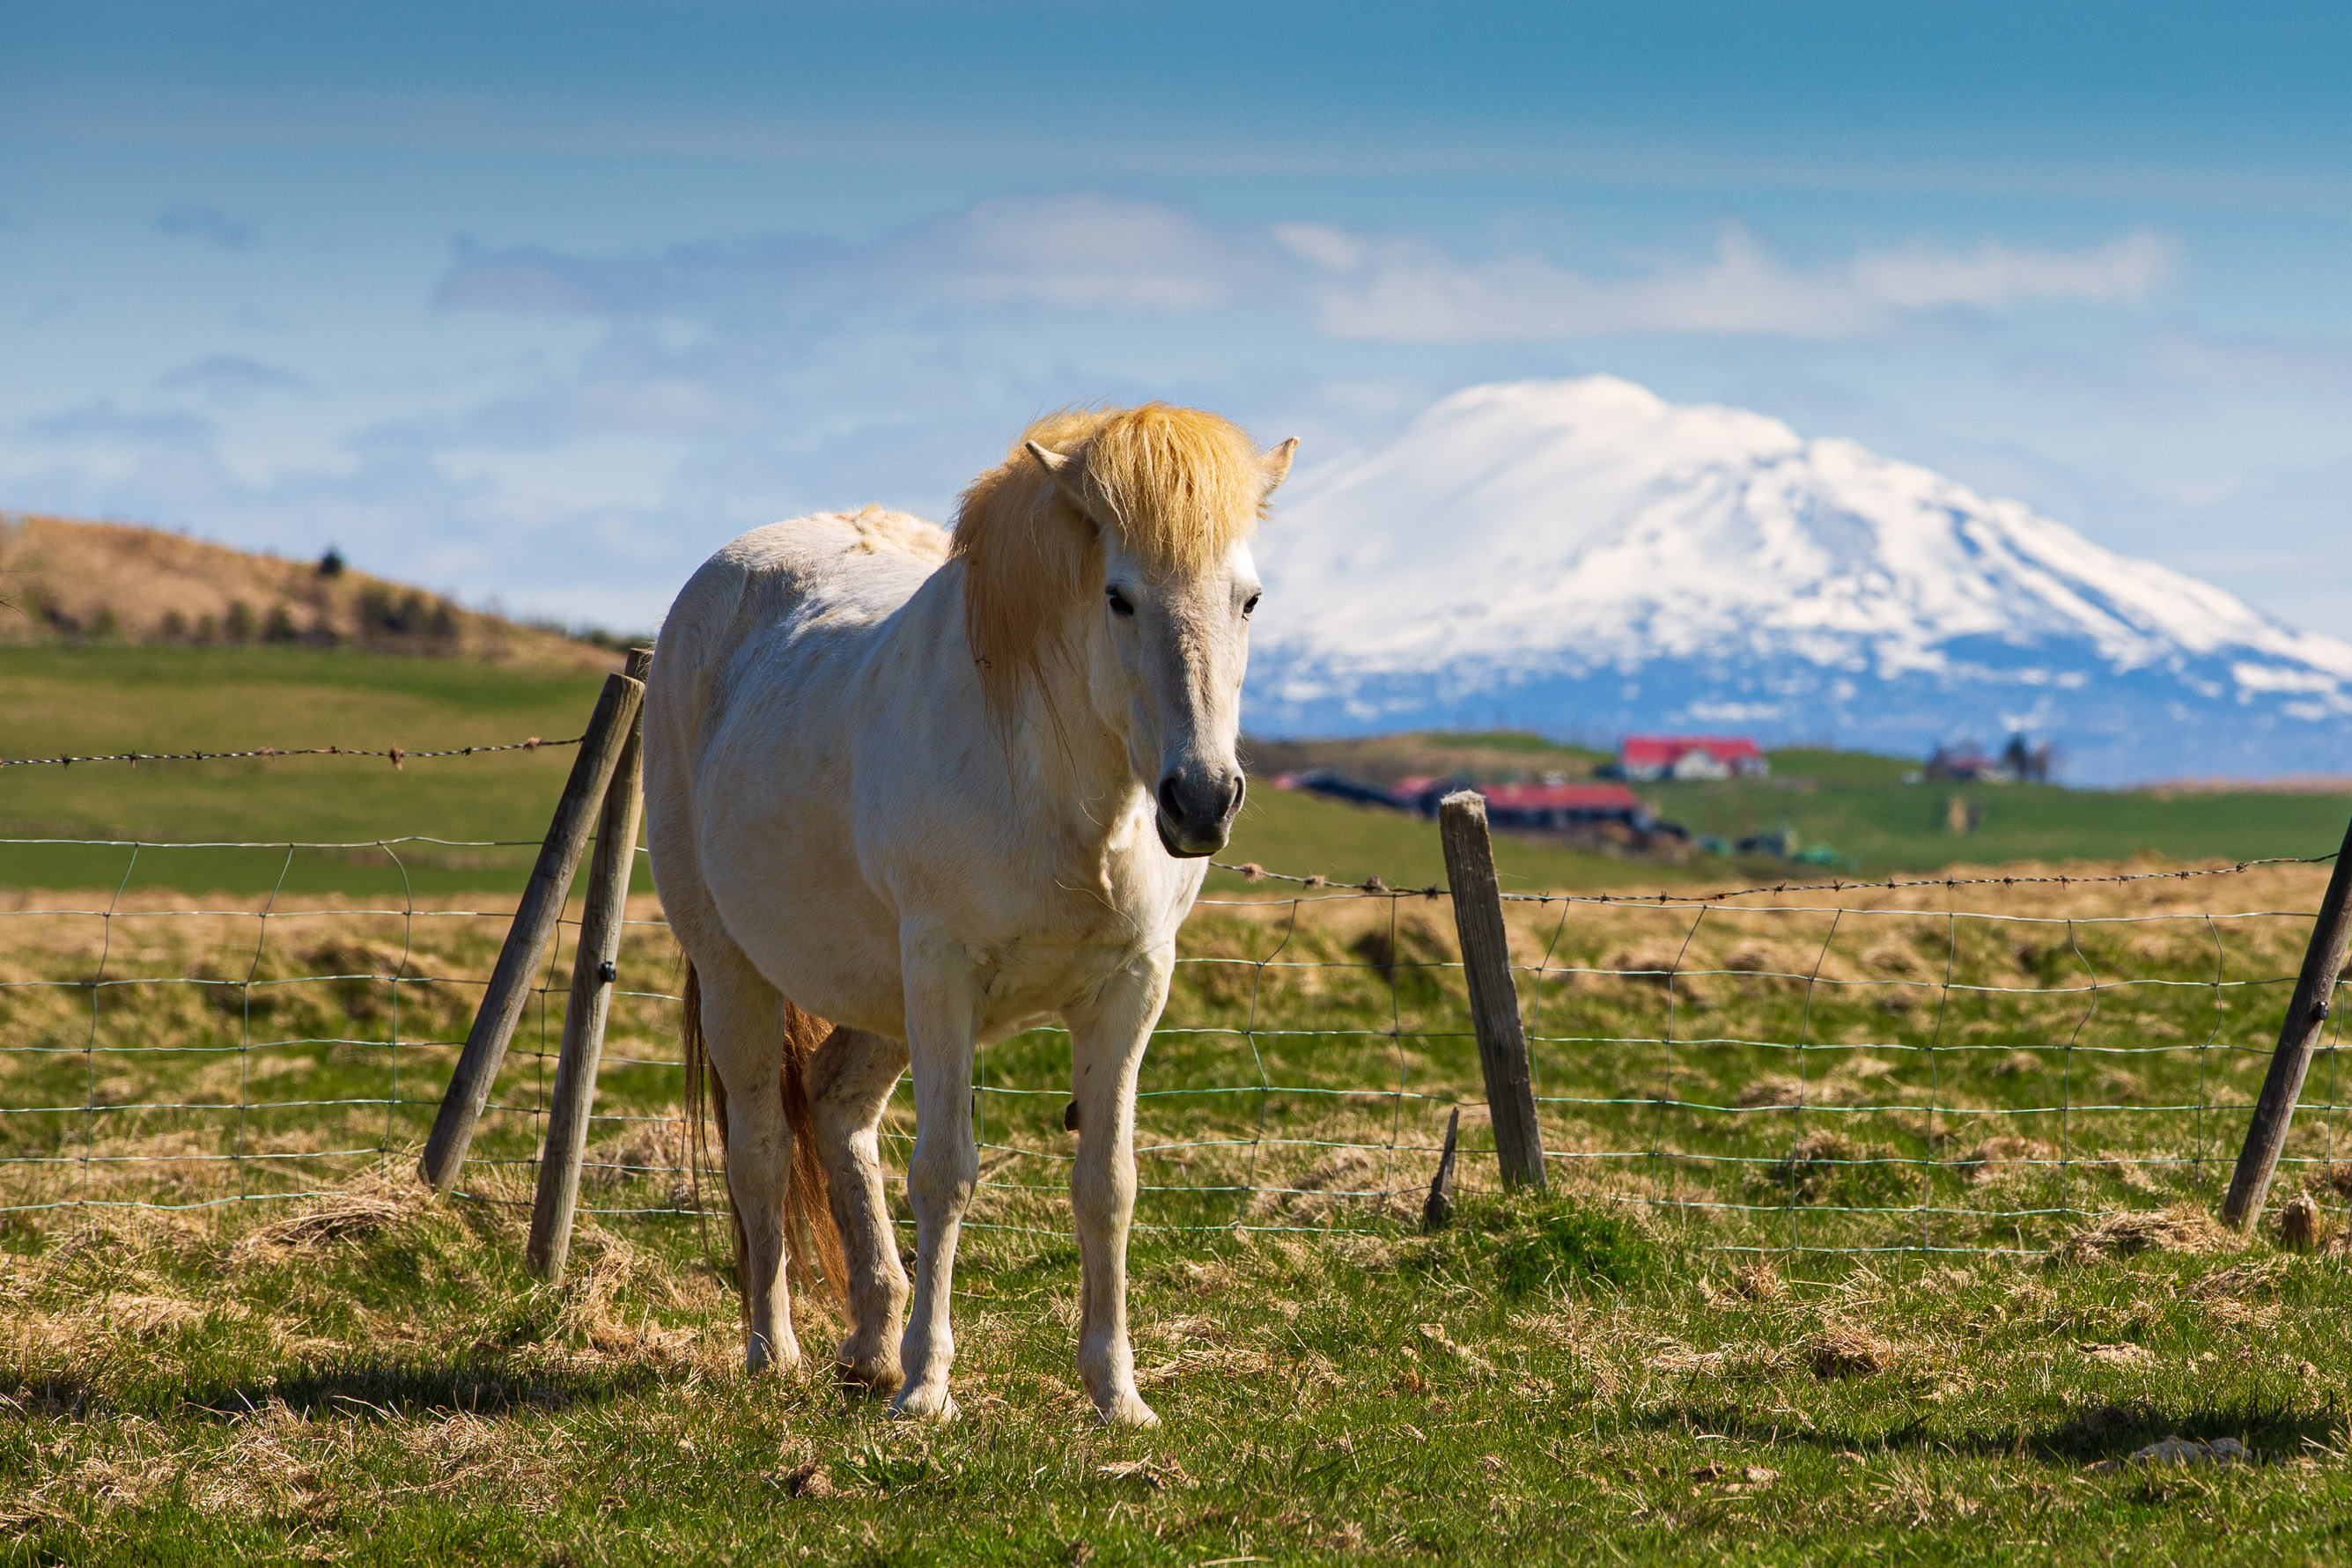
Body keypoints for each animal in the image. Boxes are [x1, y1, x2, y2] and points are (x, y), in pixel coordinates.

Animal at [644, 401, 1298, 1419]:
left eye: (1249, 599)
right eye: (1118, 597)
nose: (1201, 800)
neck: (1062, 783)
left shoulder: (1131, 987)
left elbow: (1108, 1183)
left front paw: (1117, 1392)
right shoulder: (944, 971)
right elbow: (945, 1173)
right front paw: (927, 1388)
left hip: (879, 993)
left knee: (834, 1105)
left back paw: (870, 1342)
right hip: (736, 968)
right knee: (759, 1144)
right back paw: (772, 1350)